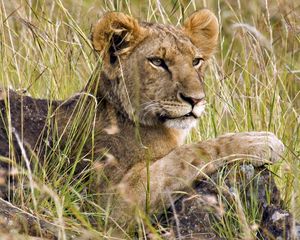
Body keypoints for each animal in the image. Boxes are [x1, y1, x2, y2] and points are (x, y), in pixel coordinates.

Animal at [0, 8, 284, 236]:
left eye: (196, 61)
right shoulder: (109, 206)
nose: (196, 99)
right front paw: (261, 141)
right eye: (158, 62)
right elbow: (188, 154)